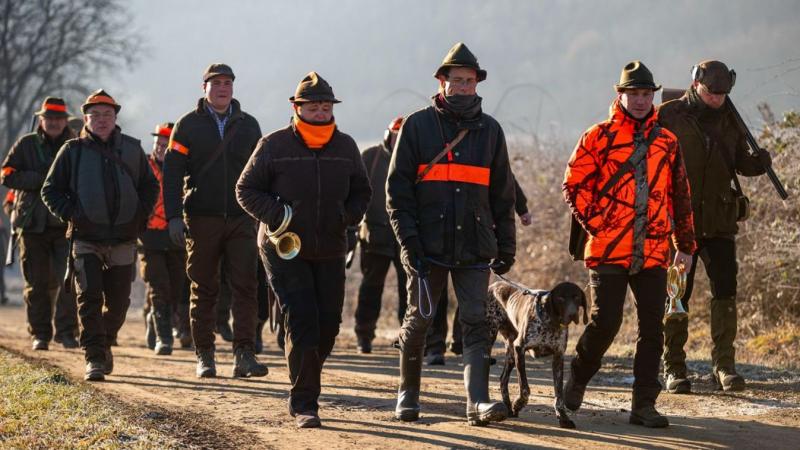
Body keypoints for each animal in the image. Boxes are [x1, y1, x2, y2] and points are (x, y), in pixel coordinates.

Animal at [482, 278, 588, 428]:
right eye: (561, 298)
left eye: (577, 297)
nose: (572, 313)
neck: (551, 323)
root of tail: (494, 284)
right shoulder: (520, 348)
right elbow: (525, 388)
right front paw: (518, 404)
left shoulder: (558, 356)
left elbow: (559, 394)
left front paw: (563, 417)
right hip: (492, 338)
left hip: (511, 352)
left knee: (503, 378)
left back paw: (508, 408)